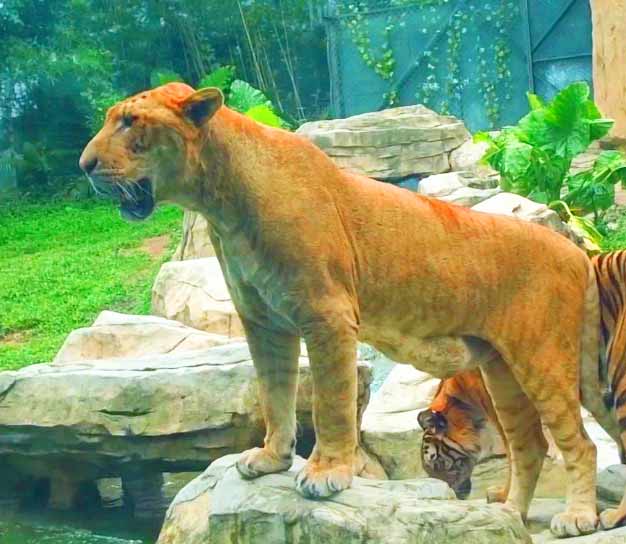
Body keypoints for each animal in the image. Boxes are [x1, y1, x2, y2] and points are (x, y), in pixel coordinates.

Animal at [416, 251, 626, 528]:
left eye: (434, 461)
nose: (451, 495)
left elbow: (514, 454)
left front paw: (503, 495)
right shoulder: (592, 395)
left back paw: (614, 516)